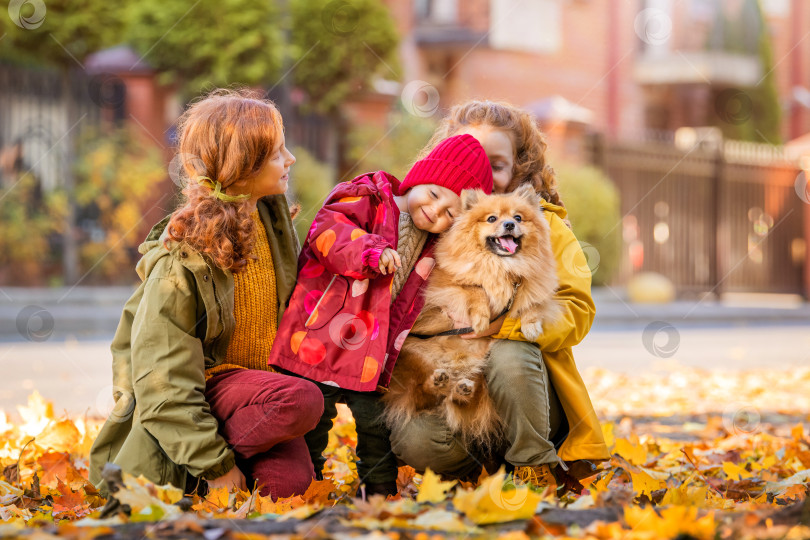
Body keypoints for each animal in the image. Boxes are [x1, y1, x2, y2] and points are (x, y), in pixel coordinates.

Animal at [380, 184, 560, 446]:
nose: (509, 224)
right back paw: (439, 382)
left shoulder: (533, 284)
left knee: (455, 399)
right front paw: (481, 318)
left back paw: (460, 389)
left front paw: (530, 325)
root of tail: (457, 371)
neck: (502, 266)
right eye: (492, 219)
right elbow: (475, 289)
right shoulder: (445, 285)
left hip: (479, 377)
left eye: (518, 218)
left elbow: (531, 302)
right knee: (424, 392)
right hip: (414, 354)